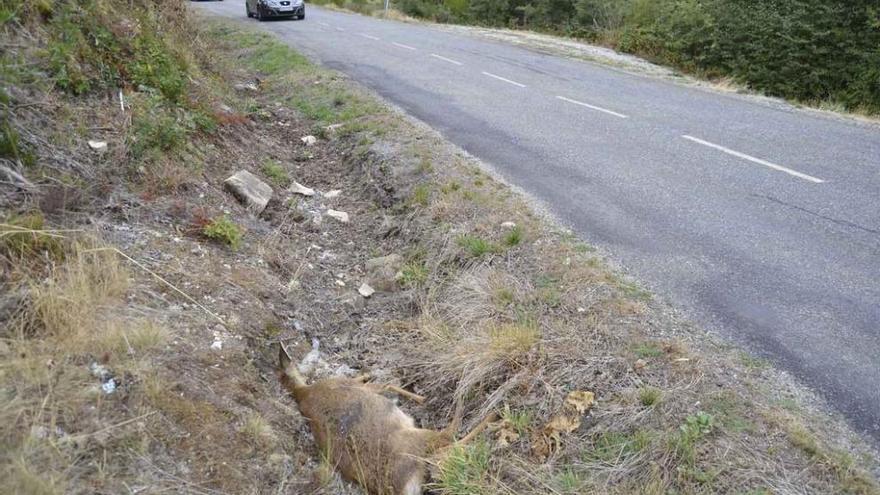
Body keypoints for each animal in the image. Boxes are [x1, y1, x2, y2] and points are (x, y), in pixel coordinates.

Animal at [278, 344, 492, 495]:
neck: (304, 393)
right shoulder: (350, 385)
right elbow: (387, 384)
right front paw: (422, 398)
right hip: (416, 438)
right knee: (449, 435)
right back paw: (482, 408)